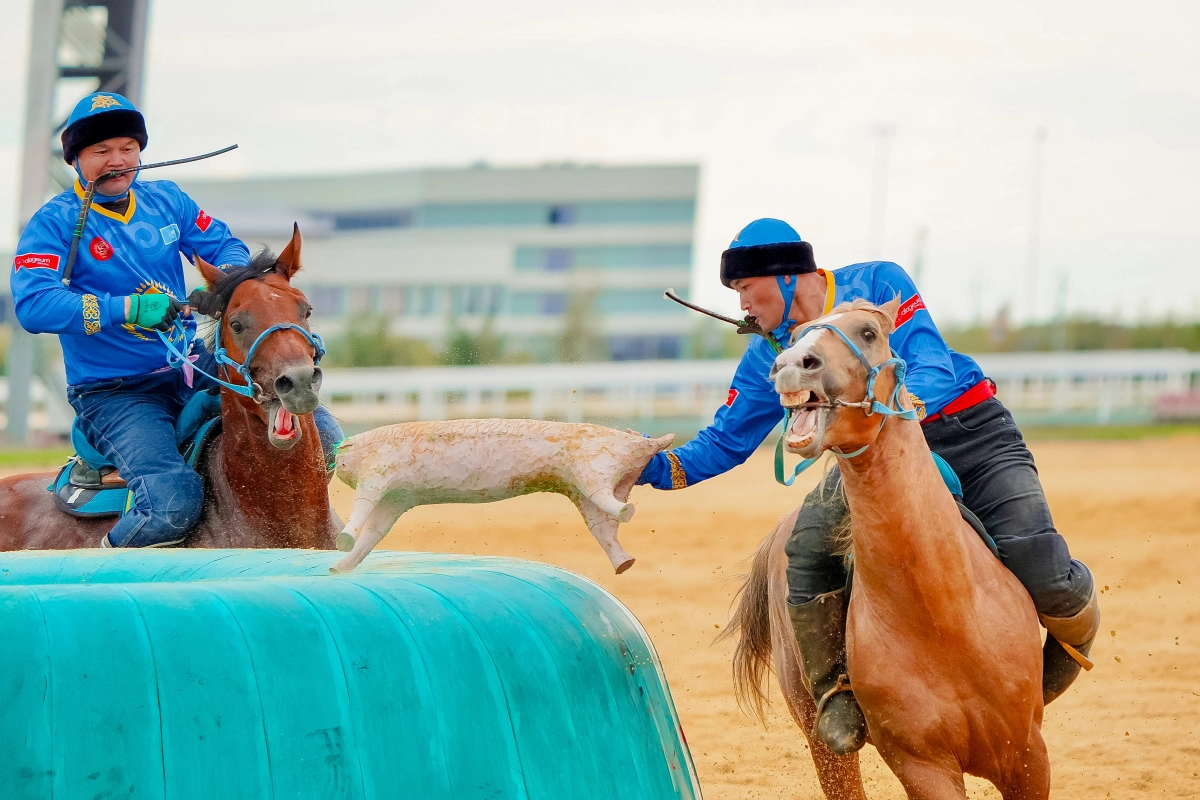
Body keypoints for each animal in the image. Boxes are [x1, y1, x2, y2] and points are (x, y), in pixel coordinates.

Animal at [720, 298, 1051, 800]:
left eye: (869, 331)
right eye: (794, 335)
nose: (792, 364)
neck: (941, 613)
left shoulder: (1028, 755)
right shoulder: (922, 766)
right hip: (823, 740)